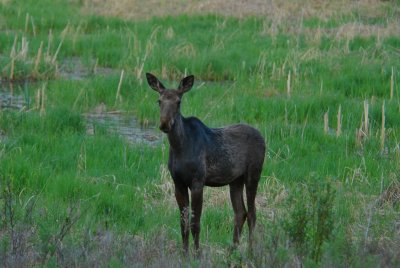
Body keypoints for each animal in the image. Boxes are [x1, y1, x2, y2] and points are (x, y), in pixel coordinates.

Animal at [146, 72, 266, 252]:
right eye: (159, 101)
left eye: (178, 102)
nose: (165, 123)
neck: (179, 147)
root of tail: (263, 138)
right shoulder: (178, 183)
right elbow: (183, 224)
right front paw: (184, 253)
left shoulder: (197, 182)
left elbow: (195, 224)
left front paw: (197, 253)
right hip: (235, 180)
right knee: (240, 212)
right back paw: (232, 250)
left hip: (253, 173)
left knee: (252, 214)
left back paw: (250, 252)